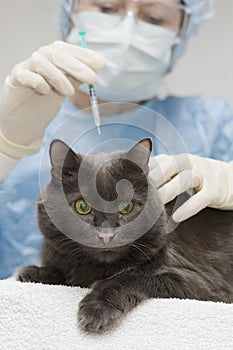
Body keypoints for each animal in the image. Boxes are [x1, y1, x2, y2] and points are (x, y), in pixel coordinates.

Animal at [16, 137, 233, 334]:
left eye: (126, 206)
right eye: (82, 206)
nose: (106, 235)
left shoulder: (200, 282)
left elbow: (132, 276)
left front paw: (97, 309)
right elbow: (61, 270)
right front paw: (34, 272)